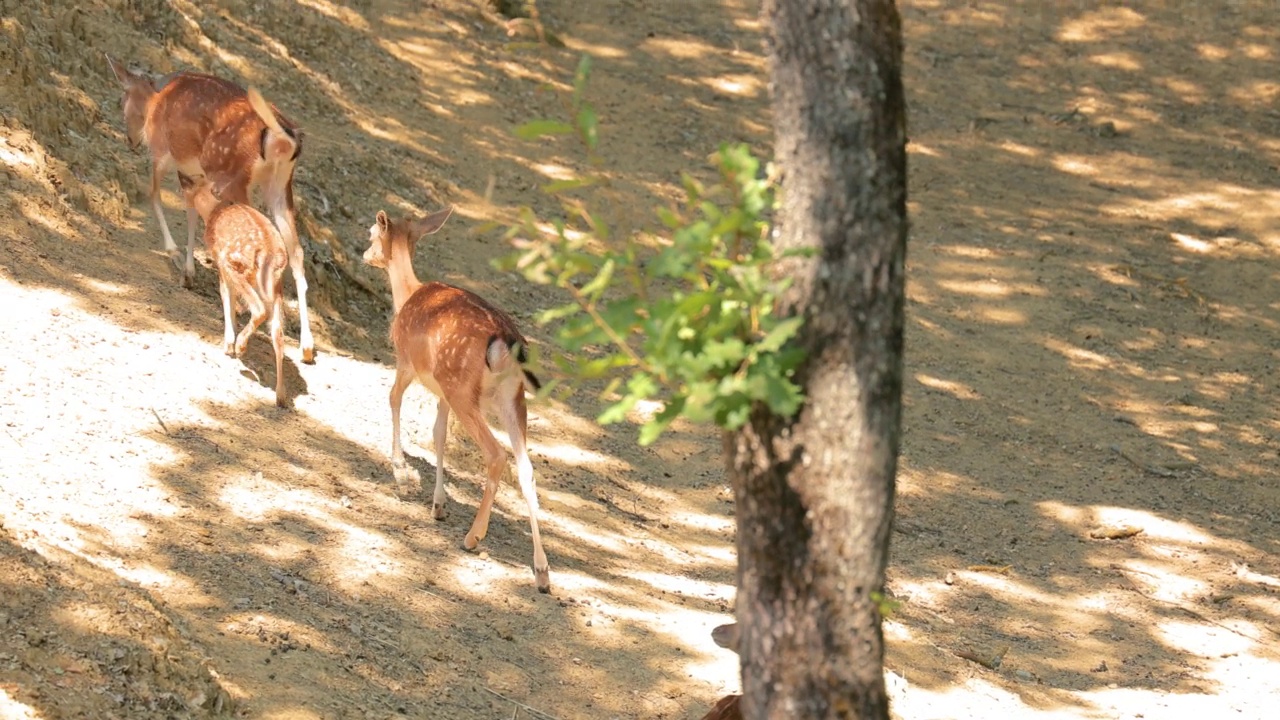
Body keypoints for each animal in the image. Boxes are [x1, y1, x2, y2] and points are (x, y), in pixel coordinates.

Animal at [107, 54, 317, 363]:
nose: (131, 140)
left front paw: (178, 261)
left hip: (232, 176)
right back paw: (304, 346)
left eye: (120, 99)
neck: (155, 98)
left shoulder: (164, 154)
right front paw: (188, 270)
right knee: (296, 252)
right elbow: (193, 212)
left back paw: (240, 330)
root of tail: (282, 138)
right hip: (280, 184)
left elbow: (156, 195)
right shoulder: (194, 175)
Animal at [177, 170, 288, 407]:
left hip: (237, 265)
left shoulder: (222, 266)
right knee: (278, 332)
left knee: (259, 309)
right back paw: (281, 396)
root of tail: (271, 253)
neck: (213, 211)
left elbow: (227, 299)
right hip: (276, 287)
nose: (181, 177)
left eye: (194, 181)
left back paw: (240, 347)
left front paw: (228, 344)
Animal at [366, 204, 555, 591]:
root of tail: (505, 340)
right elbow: (438, 435)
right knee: (527, 468)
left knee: (497, 454)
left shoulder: (407, 362)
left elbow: (393, 399)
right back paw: (542, 572)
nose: (365, 254)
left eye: (370, 235)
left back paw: (474, 536)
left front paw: (401, 472)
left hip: (463, 388)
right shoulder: (441, 392)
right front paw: (438, 504)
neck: (406, 294)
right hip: (511, 398)